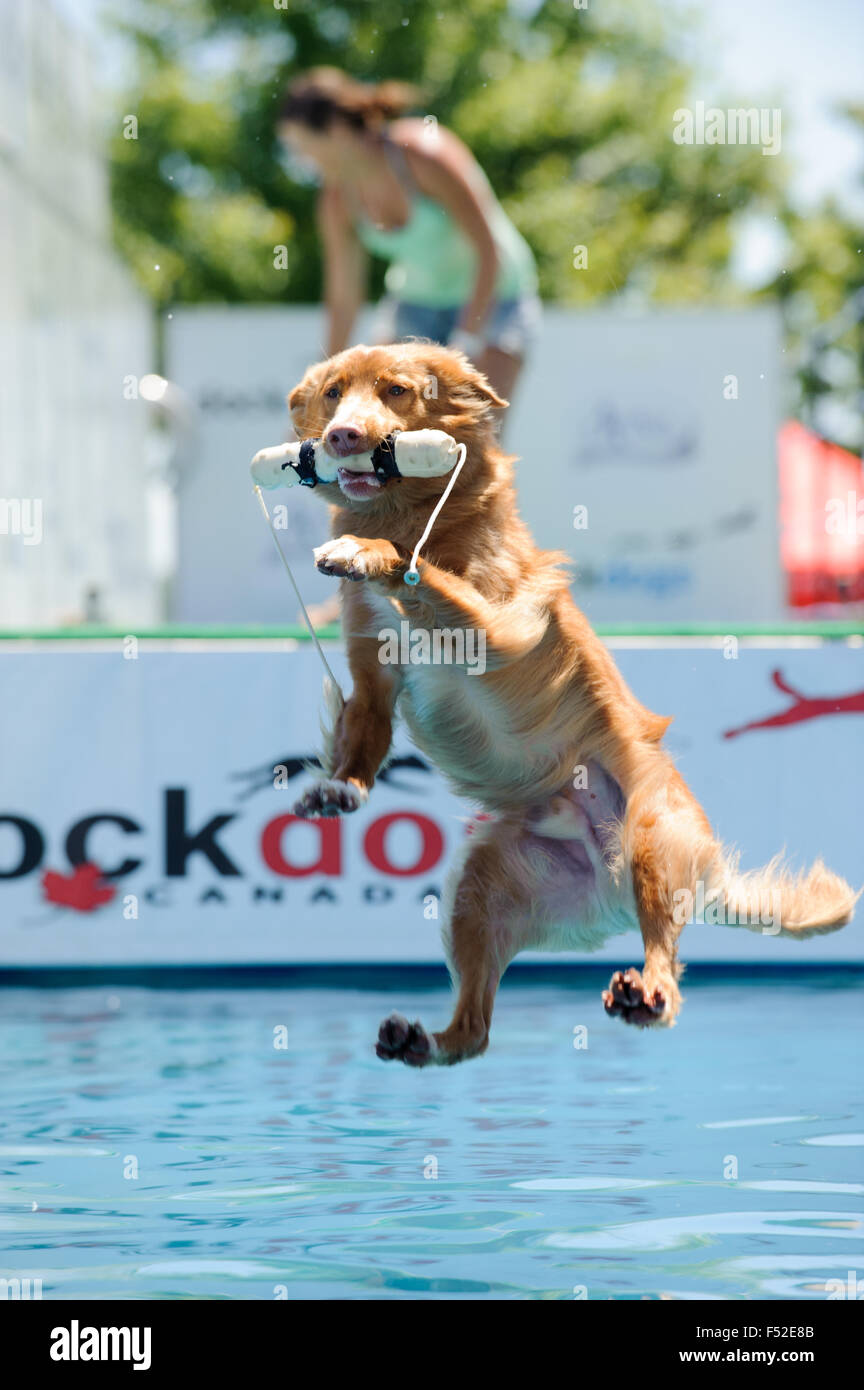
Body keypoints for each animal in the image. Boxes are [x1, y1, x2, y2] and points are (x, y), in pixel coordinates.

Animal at [287, 341, 855, 1067]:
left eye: (396, 390)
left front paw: (365, 551)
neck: (417, 515)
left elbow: (416, 572)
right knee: (475, 1030)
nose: (343, 437)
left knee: (663, 958)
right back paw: (421, 1040)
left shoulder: (495, 631)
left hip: (652, 841)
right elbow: (362, 734)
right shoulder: (373, 681)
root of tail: (612, 881)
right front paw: (338, 792)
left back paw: (648, 996)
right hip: (481, 887)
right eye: (333, 392)